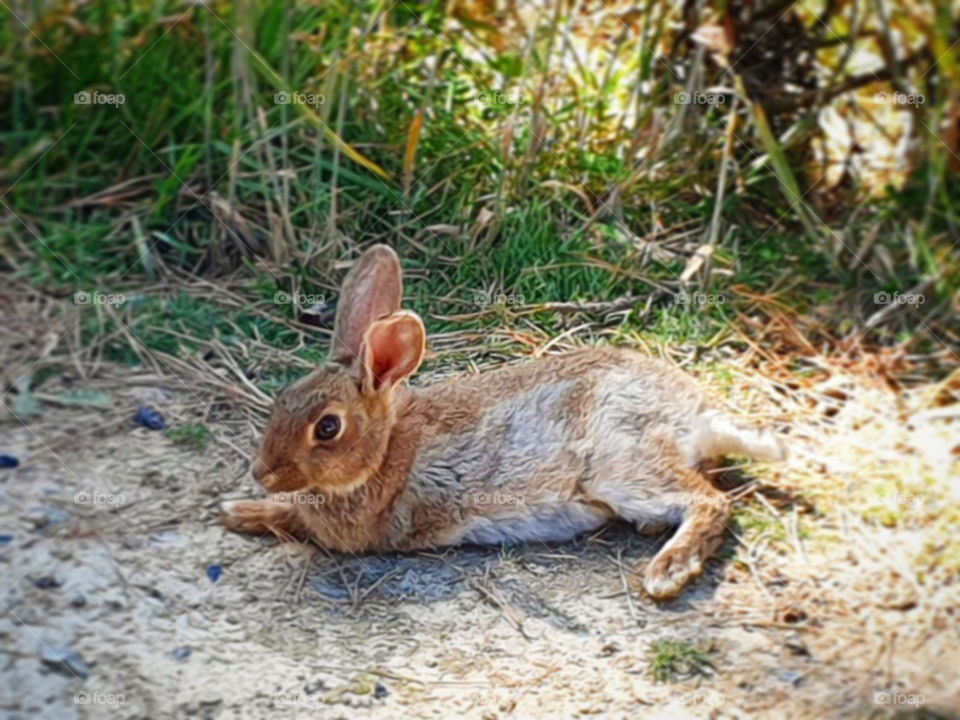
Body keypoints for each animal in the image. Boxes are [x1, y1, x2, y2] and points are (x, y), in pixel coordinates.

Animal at [225, 245, 788, 600]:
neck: (384, 451)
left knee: (710, 501)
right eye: (282, 399)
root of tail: (698, 413)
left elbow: (294, 520)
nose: (261, 473)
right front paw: (241, 506)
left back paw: (666, 573)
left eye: (327, 428)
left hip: (623, 466)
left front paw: (241, 511)